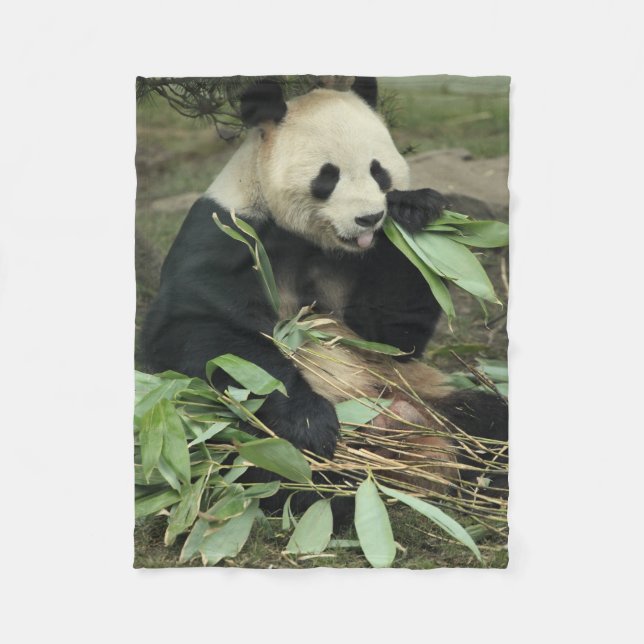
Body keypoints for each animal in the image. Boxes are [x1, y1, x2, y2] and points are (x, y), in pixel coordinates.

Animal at [142, 77, 507, 508]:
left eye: (379, 172)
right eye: (328, 176)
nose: (369, 217)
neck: (312, 239)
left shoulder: (368, 261)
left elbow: (390, 337)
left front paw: (414, 209)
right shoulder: (226, 234)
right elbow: (194, 329)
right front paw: (308, 421)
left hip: (426, 392)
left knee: (488, 417)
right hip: (232, 428)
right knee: (262, 458)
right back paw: (331, 485)